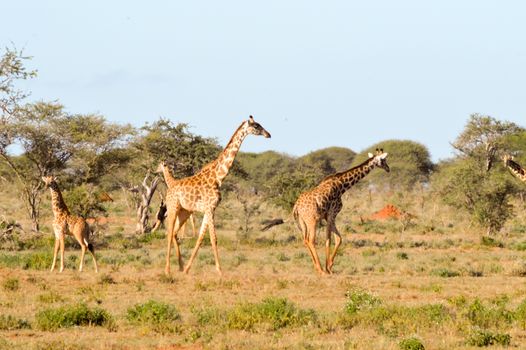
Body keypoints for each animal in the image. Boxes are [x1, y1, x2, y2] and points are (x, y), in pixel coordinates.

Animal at [165, 116, 272, 274]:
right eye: (256, 126)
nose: (268, 134)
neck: (218, 176)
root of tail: (169, 190)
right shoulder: (210, 208)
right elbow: (213, 238)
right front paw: (220, 271)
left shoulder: (208, 209)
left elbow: (200, 238)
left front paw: (187, 269)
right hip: (173, 208)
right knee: (169, 233)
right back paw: (167, 269)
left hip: (184, 211)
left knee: (174, 233)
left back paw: (180, 267)